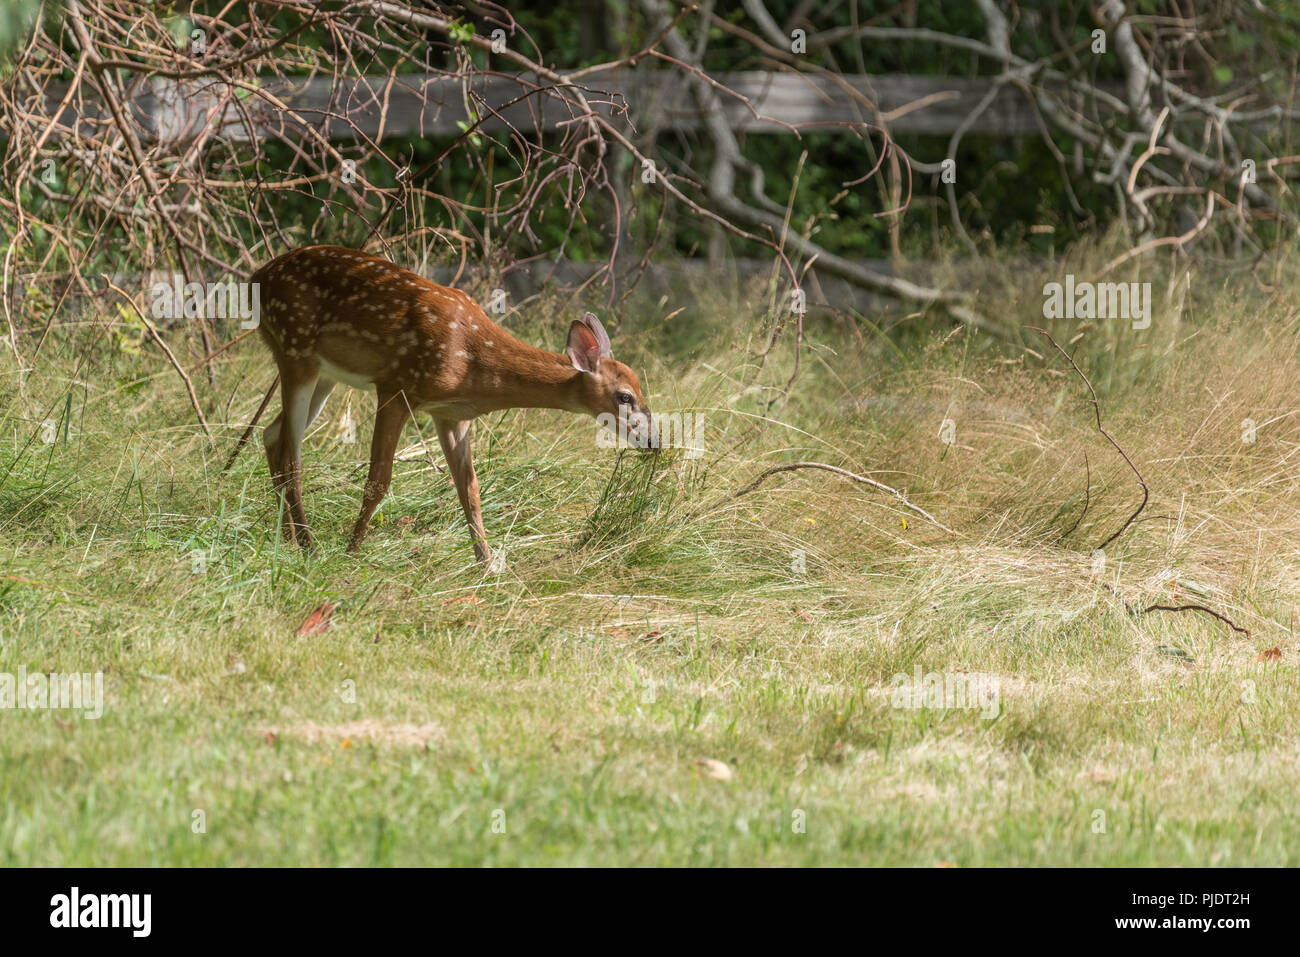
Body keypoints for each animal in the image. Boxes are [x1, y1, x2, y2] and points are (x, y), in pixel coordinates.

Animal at [249, 245, 651, 564]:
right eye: (625, 396)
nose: (653, 441)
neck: (473, 362)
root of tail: (259, 275)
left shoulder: (452, 415)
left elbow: (469, 491)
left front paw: (486, 565)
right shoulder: (397, 387)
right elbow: (379, 479)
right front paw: (352, 551)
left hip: (325, 372)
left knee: (272, 434)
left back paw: (287, 538)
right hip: (295, 348)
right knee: (291, 454)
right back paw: (308, 545)